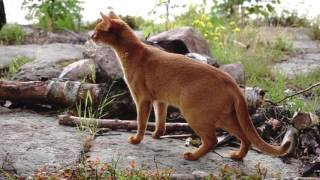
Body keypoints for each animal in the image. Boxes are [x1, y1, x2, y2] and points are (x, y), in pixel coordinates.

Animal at [90, 11, 290, 160]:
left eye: (97, 30)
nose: (90, 37)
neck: (133, 52)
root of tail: (230, 80)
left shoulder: (142, 99)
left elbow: (141, 122)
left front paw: (137, 139)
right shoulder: (160, 100)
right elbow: (160, 120)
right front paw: (157, 135)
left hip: (194, 113)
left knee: (212, 140)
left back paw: (193, 156)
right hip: (222, 116)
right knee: (244, 136)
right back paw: (237, 156)